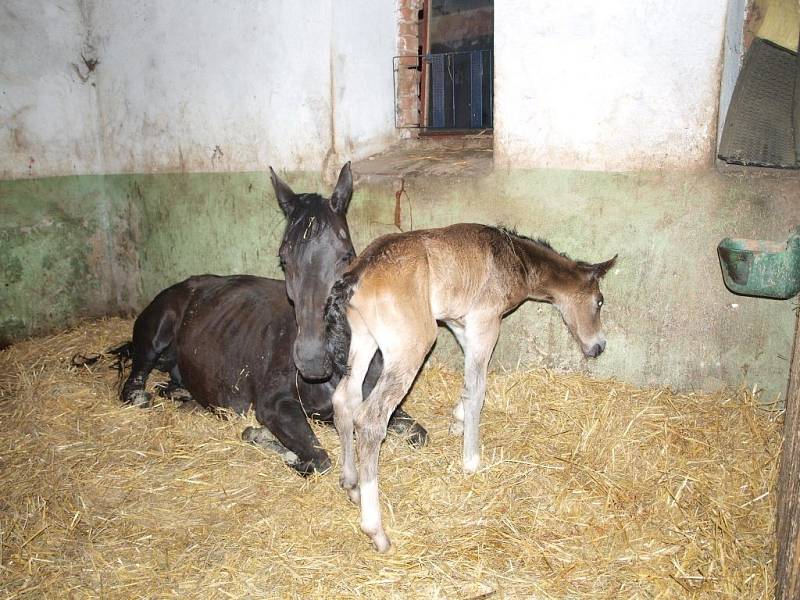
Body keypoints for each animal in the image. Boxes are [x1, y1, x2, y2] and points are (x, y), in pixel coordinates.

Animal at [117, 163, 424, 474]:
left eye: (346, 256)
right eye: (283, 260)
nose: (312, 359)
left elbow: (418, 434)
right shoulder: (274, 406)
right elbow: (318, 459)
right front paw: (261, 436)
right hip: (154, 338)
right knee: (133, 383)